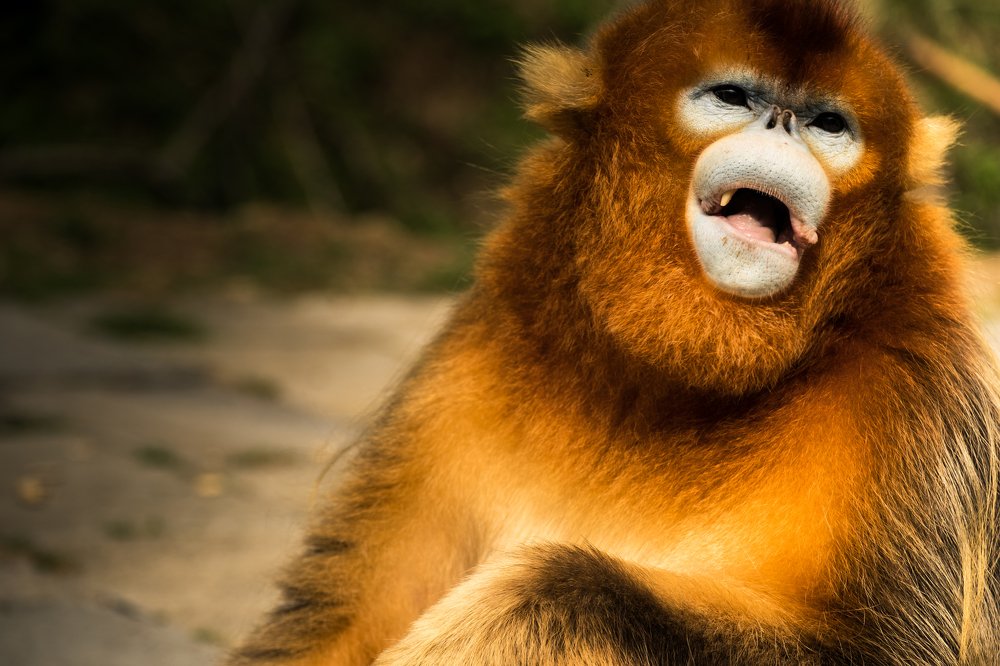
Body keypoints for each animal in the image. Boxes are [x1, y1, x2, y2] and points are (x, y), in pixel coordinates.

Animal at [228, 0, 1000, 664]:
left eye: (828, 123)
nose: (783, 122)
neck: (679, 388)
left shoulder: (912, 391)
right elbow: (339, 620)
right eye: (733, 98)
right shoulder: (486, 347)